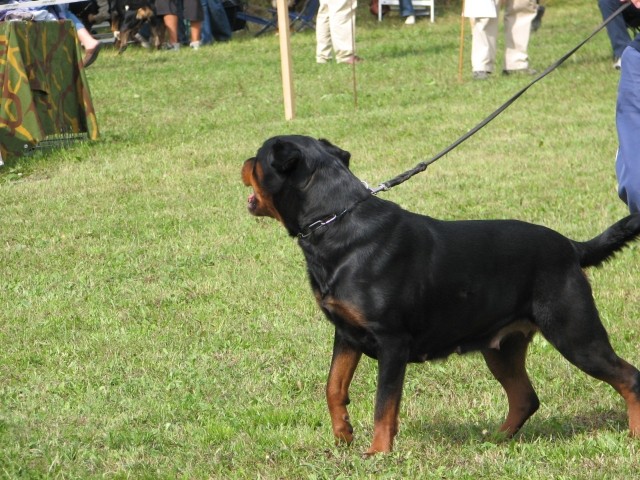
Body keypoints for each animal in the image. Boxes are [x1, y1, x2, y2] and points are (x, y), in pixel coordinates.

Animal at [241, 134, 640, 454]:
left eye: (258, 158)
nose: (242, 161)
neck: (336, 220)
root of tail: (572, 247)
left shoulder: (392, 341)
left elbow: (384, 404)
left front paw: (378, 452)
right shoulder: (347, 333)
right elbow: (333, 387)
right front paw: (343, 436)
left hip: (575, 334)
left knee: (628, 376)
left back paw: (634, 434)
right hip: (502, 346)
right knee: (525, 397)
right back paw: (495, 440)